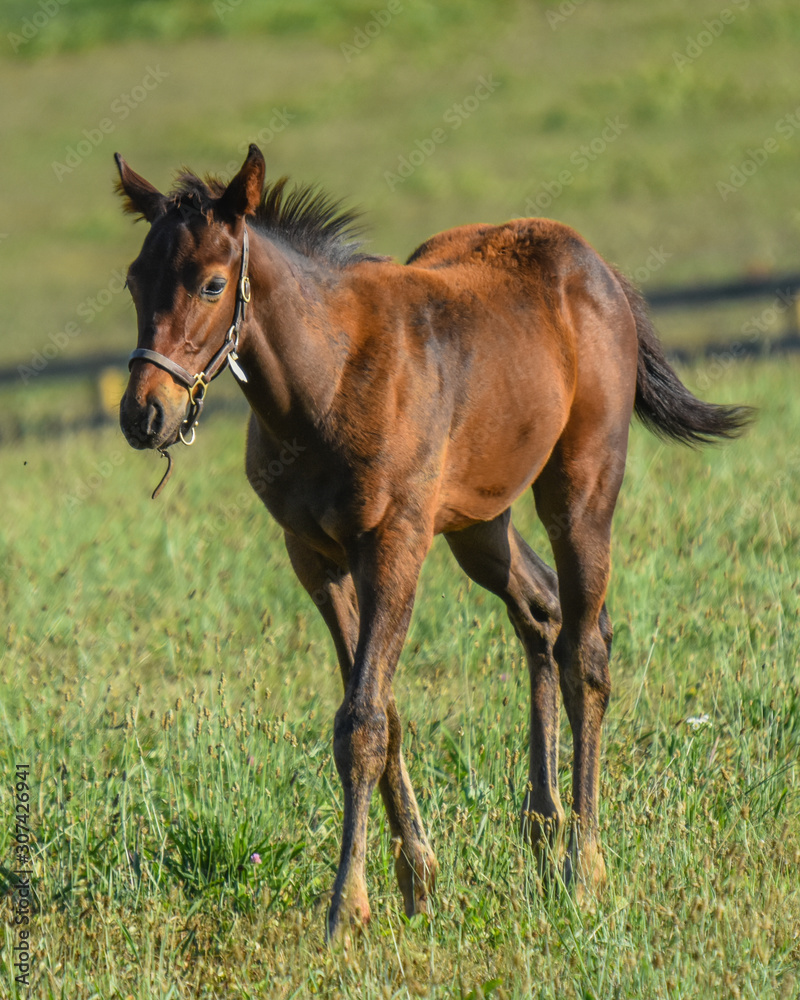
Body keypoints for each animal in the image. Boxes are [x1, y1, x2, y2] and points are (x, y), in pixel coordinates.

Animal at [114, 144, 751, 939]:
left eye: (210, 284)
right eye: (134, 279)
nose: (144, 415)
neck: (328, 380)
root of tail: (596, 266)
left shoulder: (394, 543)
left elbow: (361, 720)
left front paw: (347, 908)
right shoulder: (314, 557)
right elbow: (380, 710)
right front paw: (416, 878)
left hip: (579, 490)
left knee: (587, 652)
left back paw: (583, 866)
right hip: (481, 522)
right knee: (541, 615)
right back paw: (542, 828)